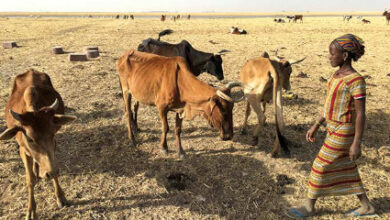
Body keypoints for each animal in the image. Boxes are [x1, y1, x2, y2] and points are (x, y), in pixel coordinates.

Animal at [0, 69, 76, 220]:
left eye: (52, 134)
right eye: (30, 139)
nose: (49, 172)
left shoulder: (53, 145)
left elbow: (54, 170)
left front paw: (60, 197)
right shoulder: (23, 151)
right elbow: (30, 180)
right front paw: (31, 211)